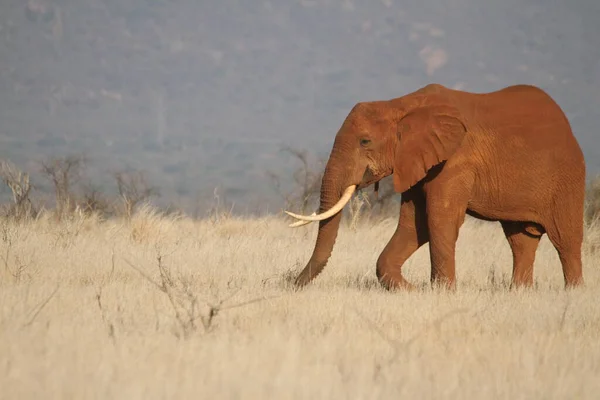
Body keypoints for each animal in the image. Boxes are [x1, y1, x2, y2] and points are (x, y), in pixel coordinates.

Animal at [286, 84, 584, 290]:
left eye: (365, 142)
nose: (289, 283)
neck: (400, 105)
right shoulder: (415, 164)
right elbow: (414, 224)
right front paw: (412, 291)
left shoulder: (455, 161)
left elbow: (440, 220)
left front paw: (441, 292)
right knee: (521, 241)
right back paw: (519, 293)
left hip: (567, 178)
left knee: (566, 240)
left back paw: (573, 294)